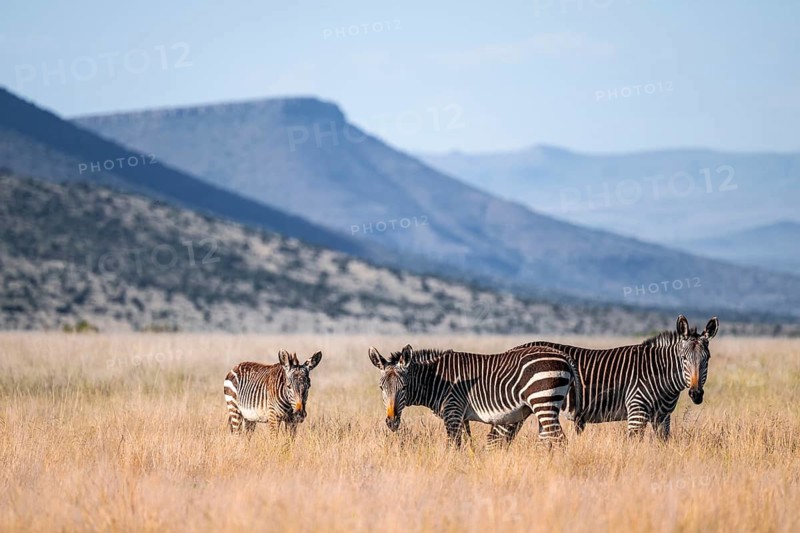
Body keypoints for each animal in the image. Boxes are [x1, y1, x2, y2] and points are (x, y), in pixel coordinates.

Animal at [368, 343, 577, 447]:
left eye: (404, 387)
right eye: (381, 388)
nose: (392, 422)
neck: (435, 380)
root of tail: (564, 357)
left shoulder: (452, 412)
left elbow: (454, 446)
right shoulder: (462, 416)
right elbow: (467, 444)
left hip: (543, 401)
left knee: (560, 440)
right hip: (546, 405)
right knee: (547, 440)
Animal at [511, 315, 719, 440]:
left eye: (707, 359)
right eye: (683, 358)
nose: (696, 394)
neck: (660, 373)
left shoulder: (663, 417)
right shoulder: (636, 409)